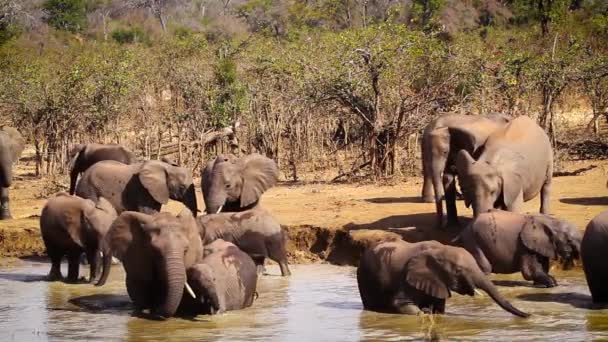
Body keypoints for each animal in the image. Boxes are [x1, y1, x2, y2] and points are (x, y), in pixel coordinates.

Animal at [356, 239, 528, 316]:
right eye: (458, 271)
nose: (529, 315)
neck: (440, 250)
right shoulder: (407, 277)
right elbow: (401, 304)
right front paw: (424, 312)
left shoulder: (436, 281)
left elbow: (439, 308)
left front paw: (433, 312)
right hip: (365, 277)